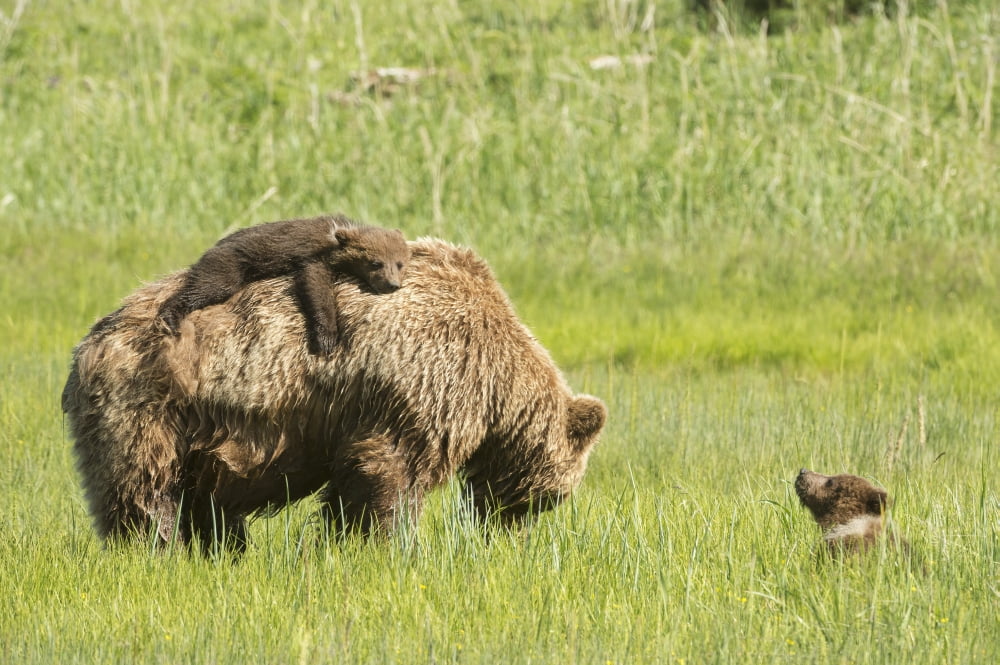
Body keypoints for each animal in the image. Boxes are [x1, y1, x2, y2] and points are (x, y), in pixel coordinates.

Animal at [62, 237, 607, 552]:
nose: (509, 535)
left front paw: (341, 542)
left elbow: (352, 485)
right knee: (142, 485)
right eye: (550, 499)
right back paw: (154, 547)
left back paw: (222, 549)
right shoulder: (419, 380)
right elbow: (392, 470)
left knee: (204, 496)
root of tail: (87, 343)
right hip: (151, 400)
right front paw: (392, 545)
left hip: (199, 427)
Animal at [157, 214, 410, 356]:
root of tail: (212, 247)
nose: (391, 284)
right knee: (207, 285)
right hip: (230, 264)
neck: (336, 235)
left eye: (399, 263)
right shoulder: (313, 257)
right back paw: (170, 317)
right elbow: (315, 287)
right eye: (375, 262)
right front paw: (327, 338)